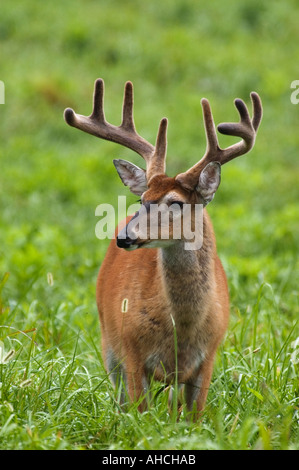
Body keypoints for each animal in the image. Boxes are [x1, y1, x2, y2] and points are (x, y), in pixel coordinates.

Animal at [64, 80, 264, 418]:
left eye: (176, 202)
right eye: (142, 199)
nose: (125, 237)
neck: (182, 330)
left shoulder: (209, 355)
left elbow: (194, 417)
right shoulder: (130, 349)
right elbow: (140, 412)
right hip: (107, 341)